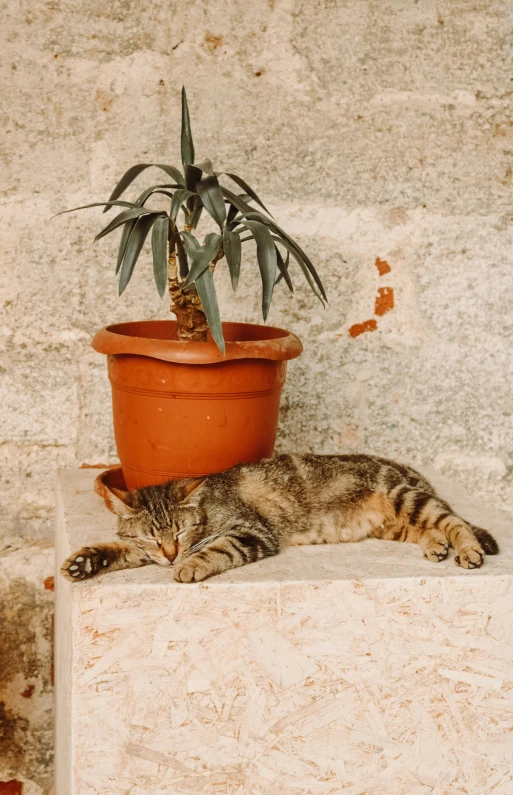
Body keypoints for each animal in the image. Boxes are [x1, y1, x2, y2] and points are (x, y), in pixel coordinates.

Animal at [60, 454, 496, 584]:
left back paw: (468, 551)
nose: (169, 554)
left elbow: (217, 549)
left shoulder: (252, 532)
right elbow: (117, 548)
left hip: (405, 497)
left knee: (454, 520)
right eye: (152, 538)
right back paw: (436, 546)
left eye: (181, 531)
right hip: (396, 522)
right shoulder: (142, 550)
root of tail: (410, 470)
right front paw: (85, 561)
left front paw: (191, 566)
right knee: (430, 528)